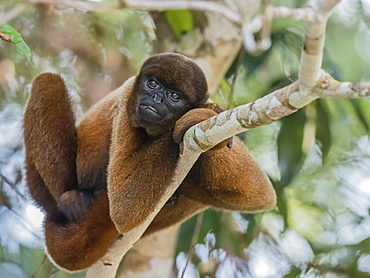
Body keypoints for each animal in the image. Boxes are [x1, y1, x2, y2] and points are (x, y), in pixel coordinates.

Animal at [22, 52, 274, 272]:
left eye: (174, 96)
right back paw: (70, 200)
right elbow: (125, 210)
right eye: (152, 84)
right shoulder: (127, 102)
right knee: (48, 81)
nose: (156, 97)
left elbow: (259, 194)